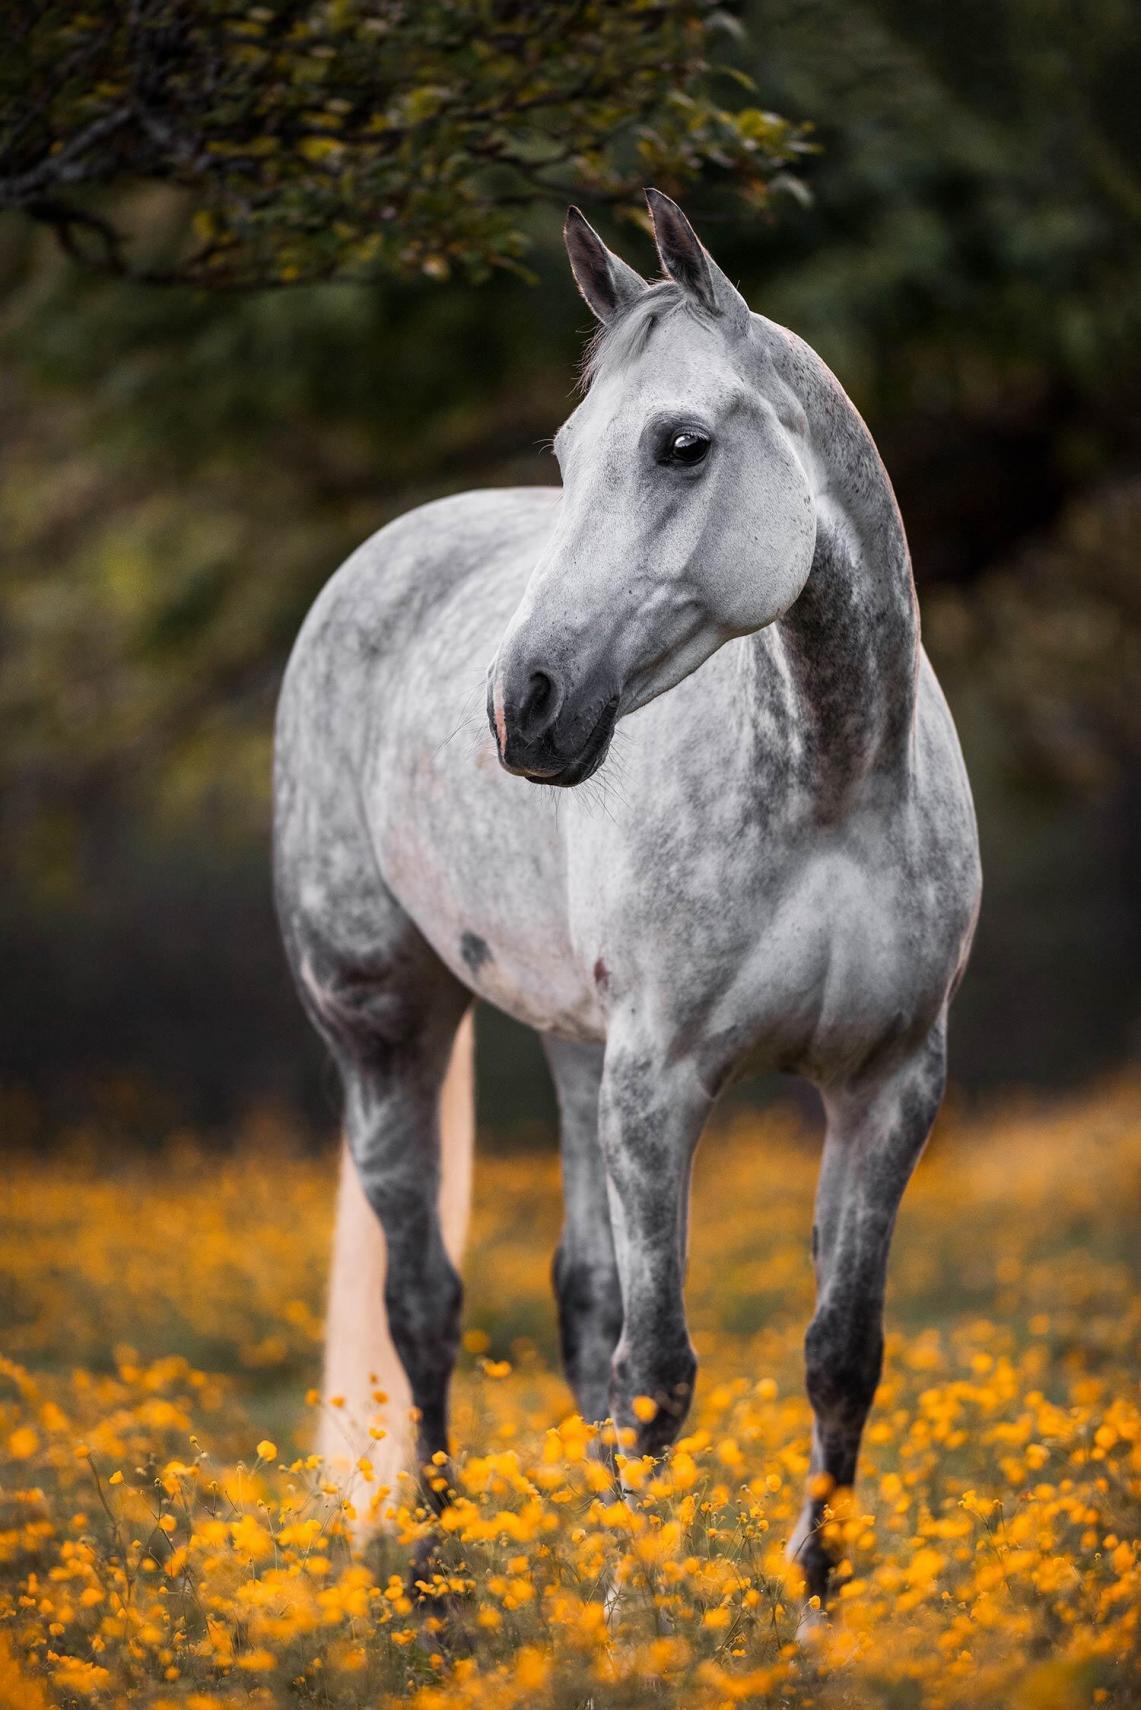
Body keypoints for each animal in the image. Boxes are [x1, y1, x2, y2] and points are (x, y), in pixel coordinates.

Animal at [272, 189, 981, 1605]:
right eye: (568, 447)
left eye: (680, 443)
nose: (523, 705)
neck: (828, 790)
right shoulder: (663, 1083)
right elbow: (656, 1378)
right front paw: (633, 1623)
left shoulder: (887, 1083)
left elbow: (839, 1357)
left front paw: (817, 1613)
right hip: (384, 1026)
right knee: (423, 1304)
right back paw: (433, 1578)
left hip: (570, 1044)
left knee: (577, 1297)